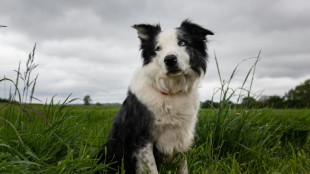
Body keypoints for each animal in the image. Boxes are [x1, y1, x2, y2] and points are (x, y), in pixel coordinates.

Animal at [97, 19, 213, 173]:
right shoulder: (142, 139)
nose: (170, 59)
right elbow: (151, 169)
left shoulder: (181, 136)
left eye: (182, 43)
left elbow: (183, 167)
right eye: (158, 48)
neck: (171, 90)